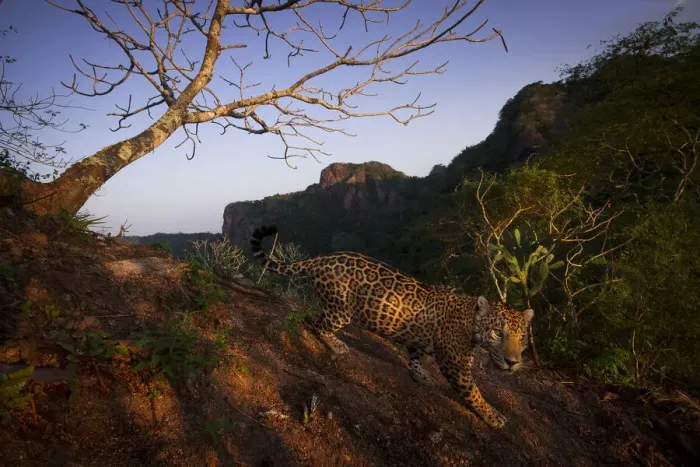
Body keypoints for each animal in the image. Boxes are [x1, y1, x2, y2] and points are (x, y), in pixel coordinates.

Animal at [250, 225, 534, 429]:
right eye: (497, 332)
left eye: (522, 338)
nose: (513, 362)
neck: (469, 322)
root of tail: (322, 259)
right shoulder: (456, 366)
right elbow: (474, 393)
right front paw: (494, 415)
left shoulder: (419, 342)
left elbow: (415, 357)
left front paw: (420, 375)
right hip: (340, 310)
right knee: (317, 324)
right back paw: (337, 345)